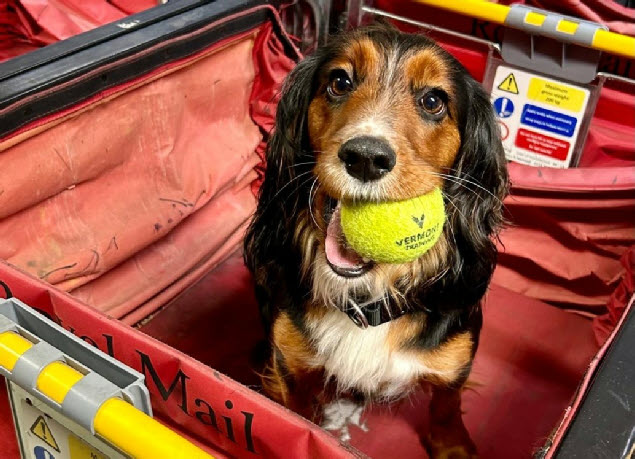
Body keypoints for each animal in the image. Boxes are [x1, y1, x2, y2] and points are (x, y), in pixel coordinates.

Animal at [243, 25, 506, 459]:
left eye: (433, 100)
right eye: (339, 82)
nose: (365, 157)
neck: (366, 300)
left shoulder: (456, 358)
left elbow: (447, 404)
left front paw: (452, 444)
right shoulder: (289, 367)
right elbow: (295, 417)